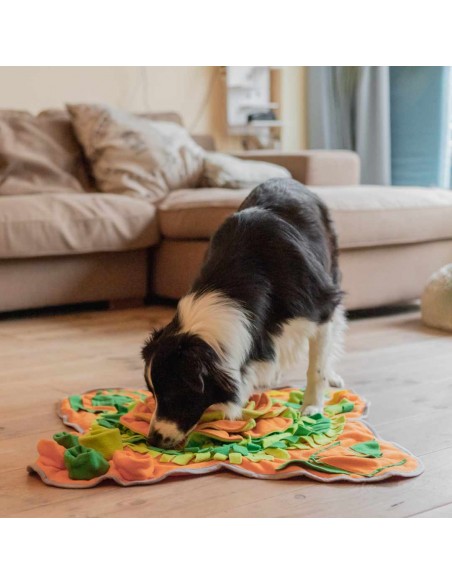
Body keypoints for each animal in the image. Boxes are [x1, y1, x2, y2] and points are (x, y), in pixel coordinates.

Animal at [141, 177, 346, 448]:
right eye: (152, 393)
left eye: (175, 393)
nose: (152, 439)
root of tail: (288, 179)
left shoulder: (321, 306)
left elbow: (317, 366)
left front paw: (312, 407)